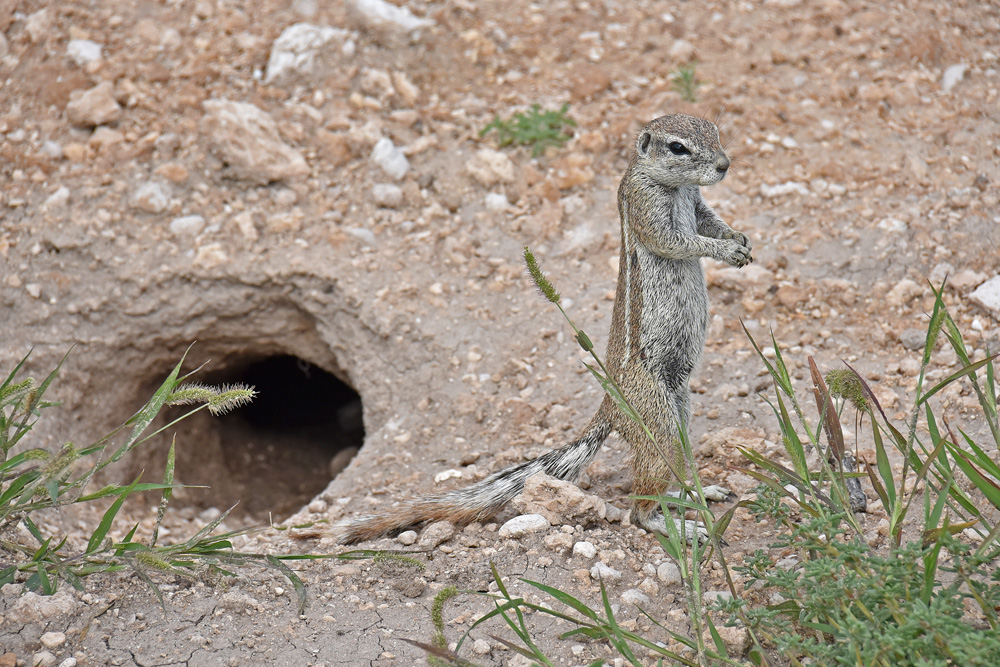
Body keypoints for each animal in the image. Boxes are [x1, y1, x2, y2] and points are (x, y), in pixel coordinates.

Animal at [336, 113, 752, 544]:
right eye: (677, 148)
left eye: (714, 130)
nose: (724, 165)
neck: (672, 184)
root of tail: (610, 406)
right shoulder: (646, 207)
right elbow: (677, 240)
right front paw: (725, 249)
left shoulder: (697, 202)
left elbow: (708, 220)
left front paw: (735, 236)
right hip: (655, 420)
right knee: (641, 505)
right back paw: (678, 526)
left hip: (679, 409)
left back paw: (697, 494)